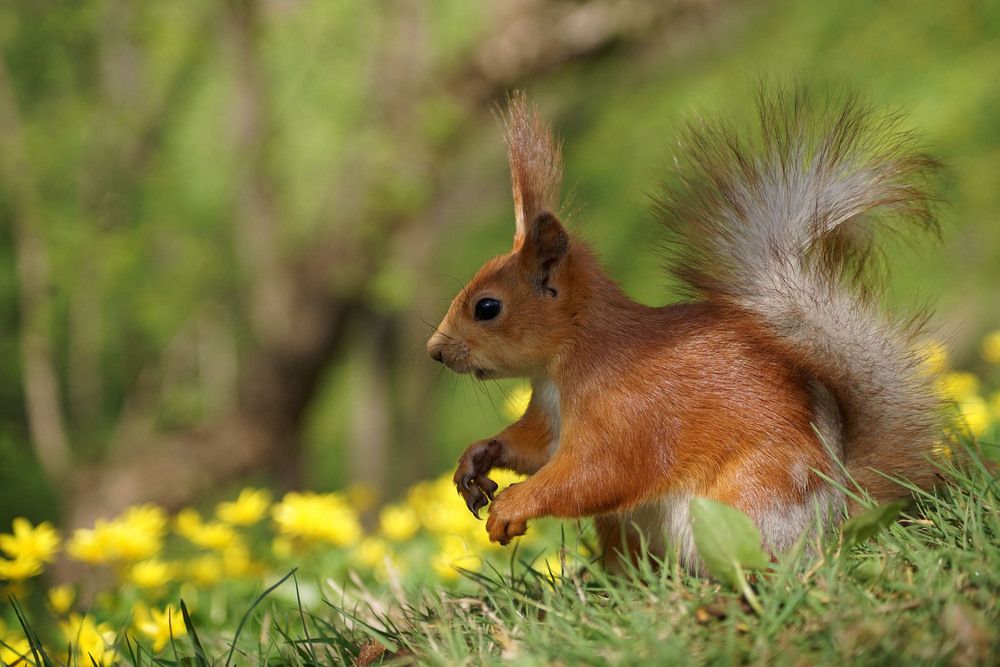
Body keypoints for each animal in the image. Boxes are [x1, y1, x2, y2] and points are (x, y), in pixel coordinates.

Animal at [426, 89, 942, 571]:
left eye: (487, 307)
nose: (434, 351)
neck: (570, 362)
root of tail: (838, 516)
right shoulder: (549, 417)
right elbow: (533, 446)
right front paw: (477, 457)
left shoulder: (628, 413)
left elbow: (595, 474)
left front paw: (512, 506)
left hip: (746, 504)